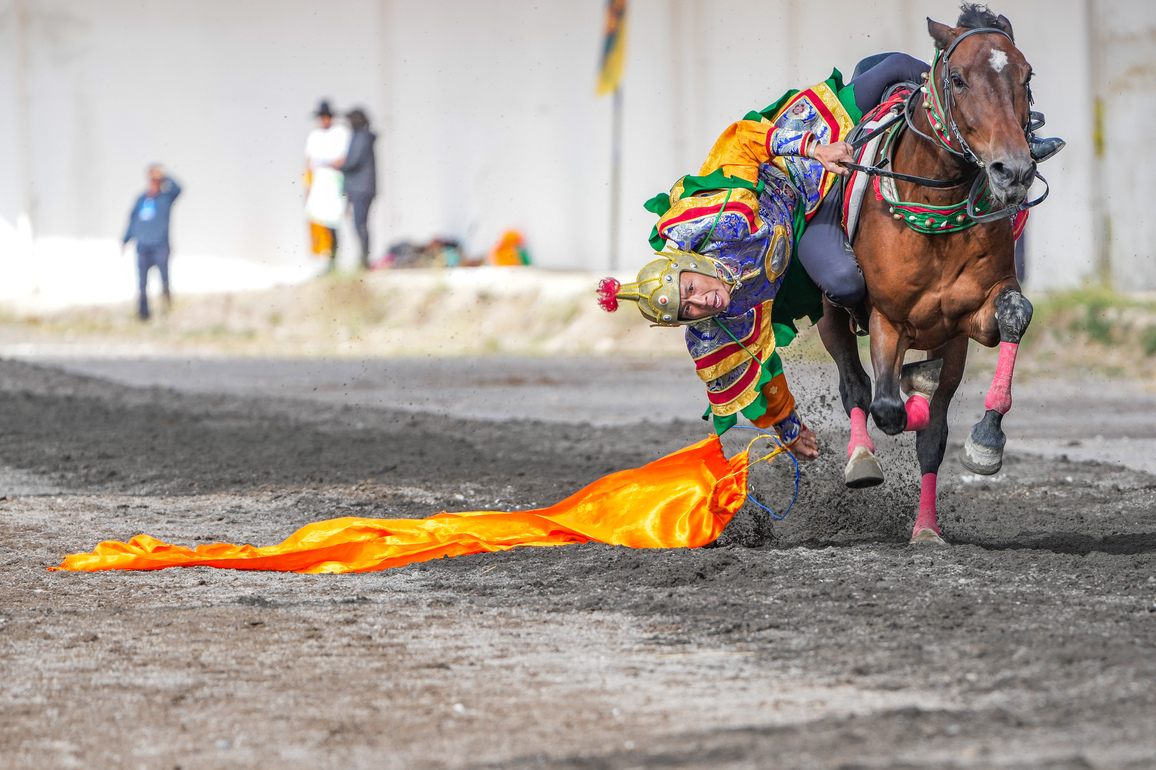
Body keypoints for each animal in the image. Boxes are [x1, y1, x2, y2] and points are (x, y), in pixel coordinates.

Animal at [820, 6, 1045, 544]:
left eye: (1027, 77)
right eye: (958, 78)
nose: (1013, 170)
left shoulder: (969, 318)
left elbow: (1014, 314)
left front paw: (985, 441)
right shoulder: (886, 318)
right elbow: (886, 407)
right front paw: (905, 398)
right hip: (830, 310)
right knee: (856, 387)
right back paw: (862, 456)